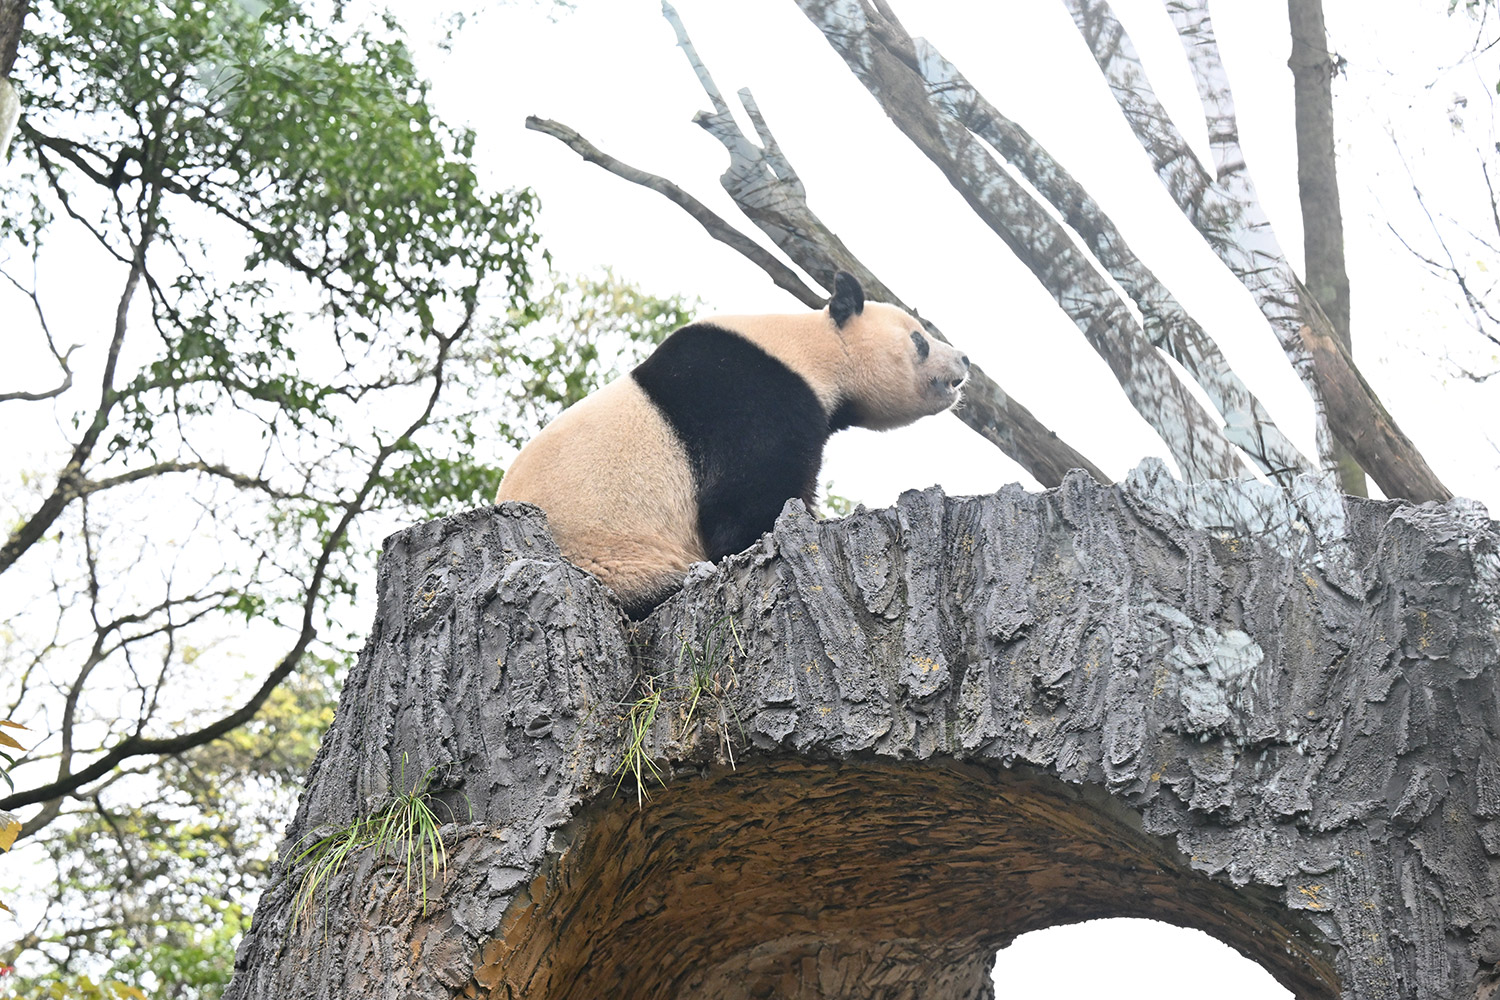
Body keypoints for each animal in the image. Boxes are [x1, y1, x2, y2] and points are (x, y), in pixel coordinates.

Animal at [496, 272, 970, 618]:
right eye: (919, 340)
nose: (964, 358)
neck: (812, 349)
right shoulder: (749, 396)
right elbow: (744, 501)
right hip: (616, 557)